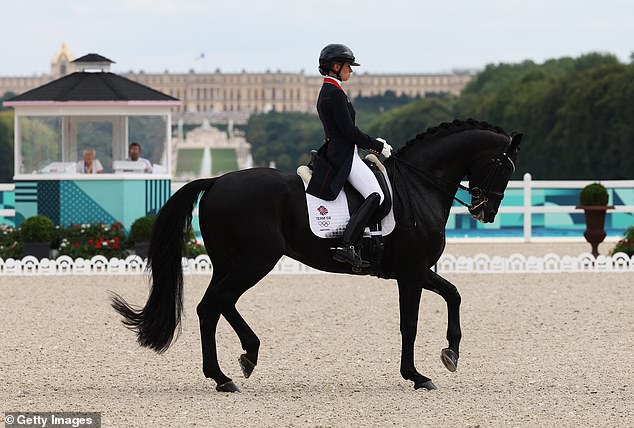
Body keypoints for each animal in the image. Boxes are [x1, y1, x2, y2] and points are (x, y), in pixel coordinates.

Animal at [111, 118, 520, 392]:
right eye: (502, 165)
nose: (486, 212)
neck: (417, 186)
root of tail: (216, 181)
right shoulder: (411, 271)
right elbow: (410, 323)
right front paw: (417, 376)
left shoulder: (416, 270)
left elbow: (454, 294)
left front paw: (451, 352)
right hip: (255, 261)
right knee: (216, 303)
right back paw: (232, 370)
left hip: (231, 262)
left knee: (212, 306)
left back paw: (236, 364)